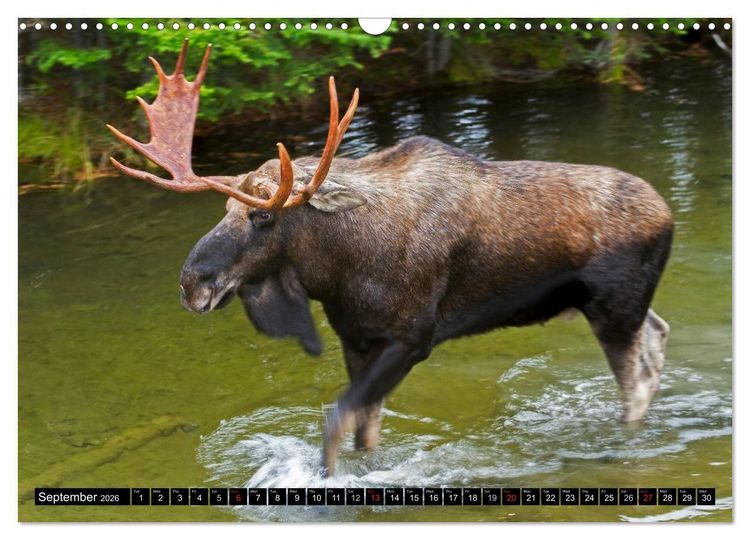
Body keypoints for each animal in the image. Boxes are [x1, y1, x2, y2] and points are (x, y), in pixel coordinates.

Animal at [107, 40, 674, 476]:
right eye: (225, 207)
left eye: (262, 215)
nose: (191, 282)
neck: (336, 273)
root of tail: (668, 216)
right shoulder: (356, 340)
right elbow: (364, 432)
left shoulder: (411, 338)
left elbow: (335, 425)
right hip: (613, 307)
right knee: (658, 337)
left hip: (614, 310)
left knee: (637, 384)